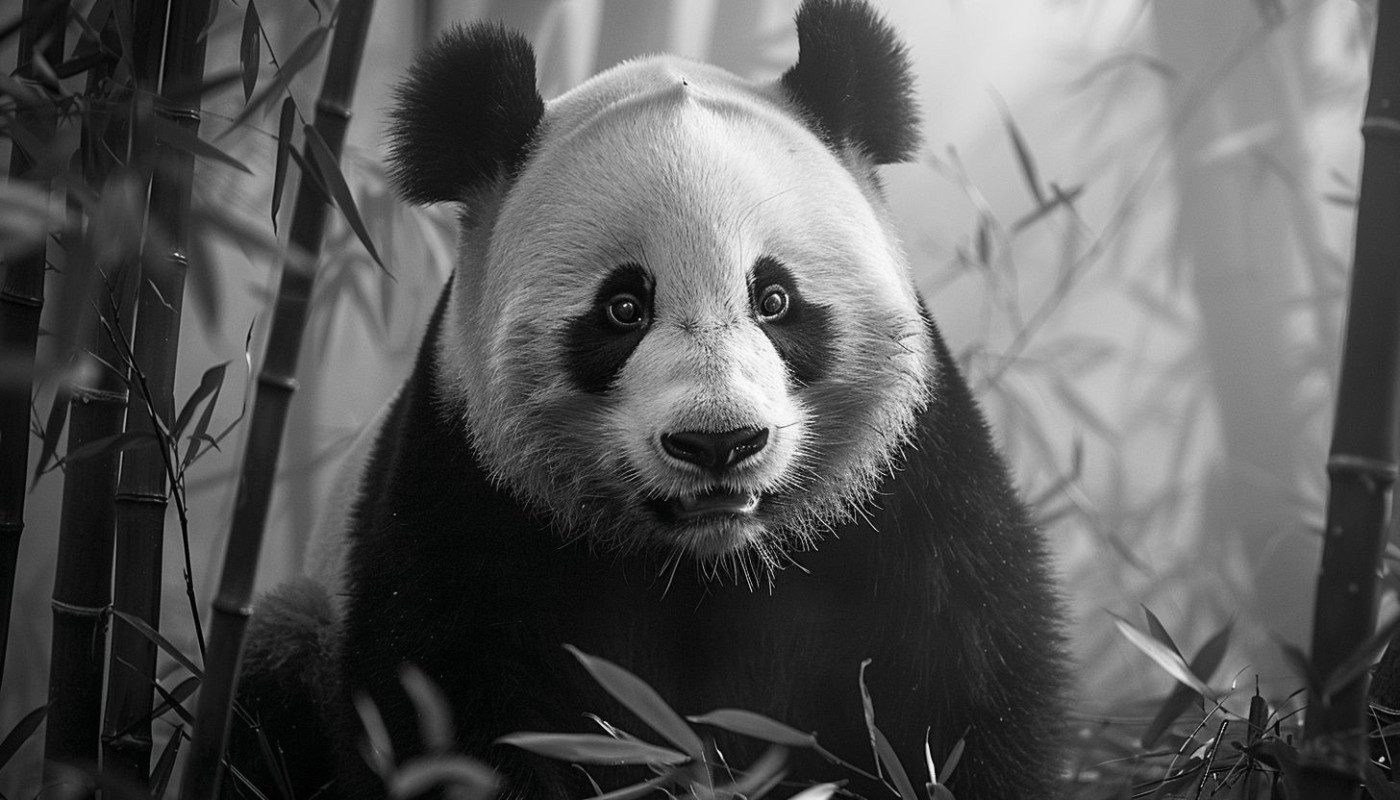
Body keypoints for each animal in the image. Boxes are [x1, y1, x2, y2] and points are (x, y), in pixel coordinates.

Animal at [233, 1, 1069, 798]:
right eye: (623, 309)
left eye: (774, 299)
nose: (719, 443)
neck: (706, 559)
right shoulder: (465, 488)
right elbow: (444, 708)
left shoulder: (903, 485)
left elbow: (955, 690)